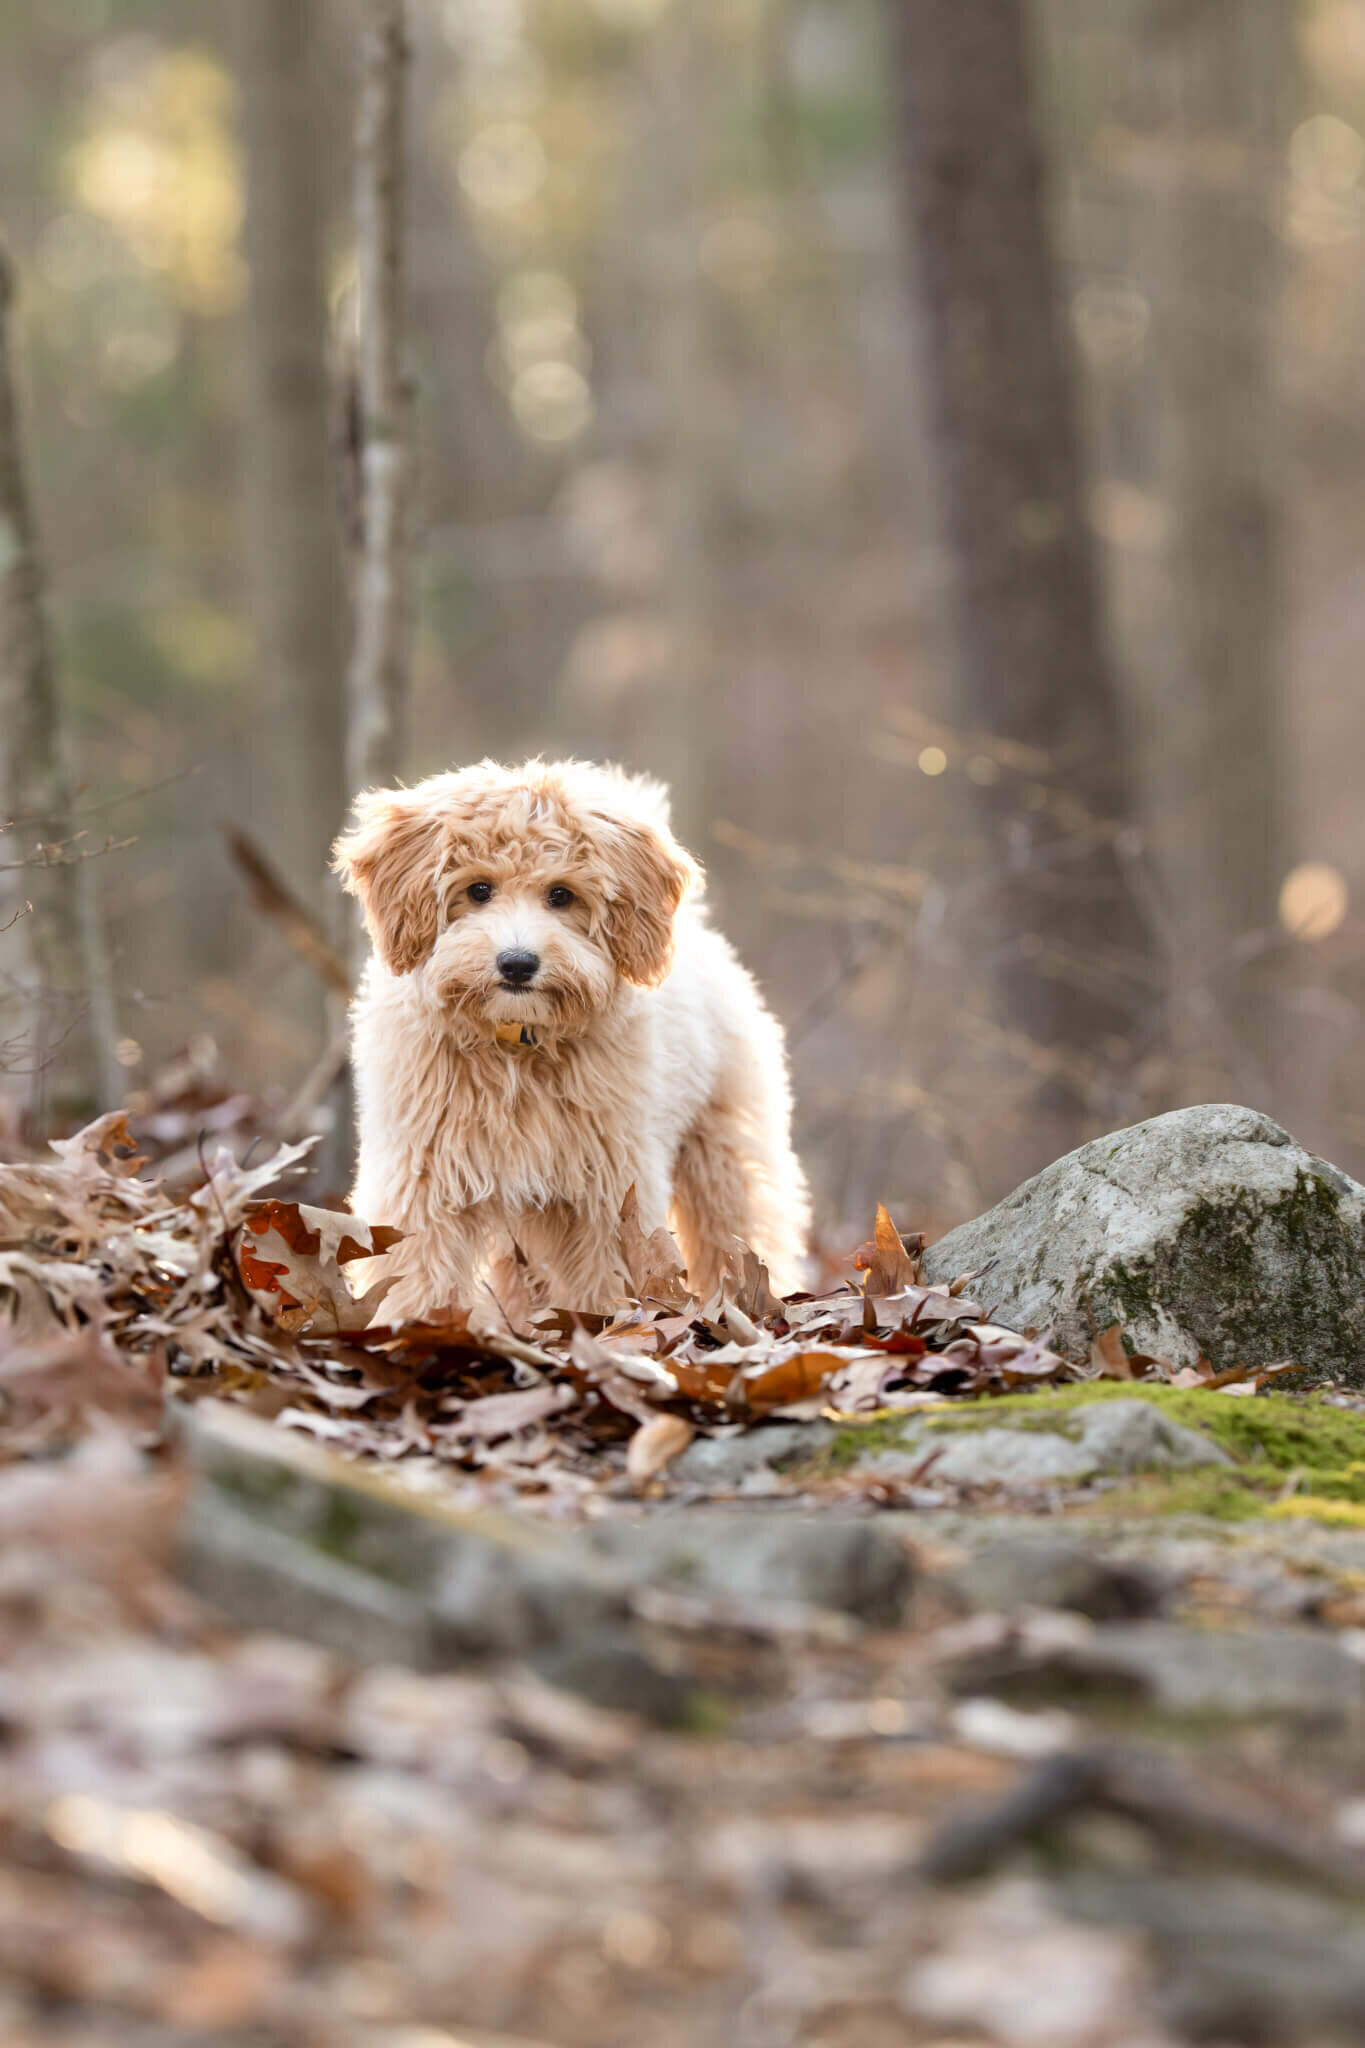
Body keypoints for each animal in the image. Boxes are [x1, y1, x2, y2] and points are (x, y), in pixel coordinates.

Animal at [333, 761, 810, 1318]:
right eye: (478, 890)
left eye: (560, 894)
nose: (518, 964)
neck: (515, 1045)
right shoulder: (423, 1174)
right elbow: (417, 1272)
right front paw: (420, 1324)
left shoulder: (608, 1190)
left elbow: (605, 1277)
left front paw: (606, 1324)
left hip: (724, 1151)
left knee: (734, 1229)